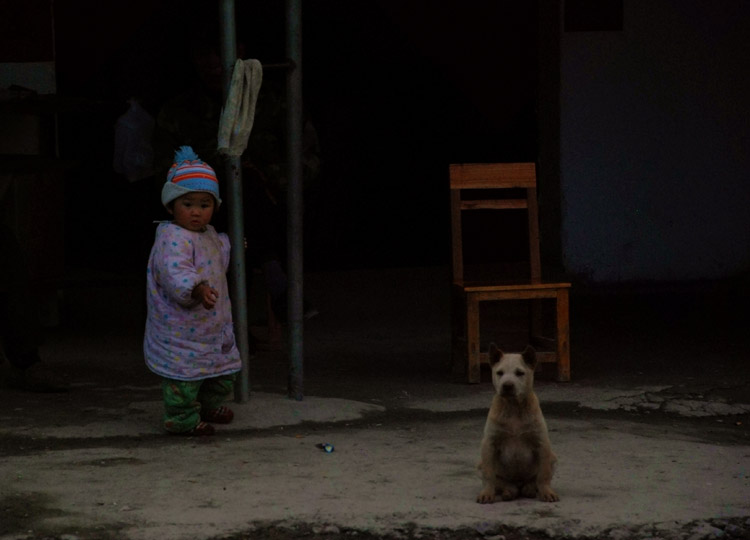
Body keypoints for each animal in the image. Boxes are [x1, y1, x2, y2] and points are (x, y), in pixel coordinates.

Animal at [476, 344, 560, 504]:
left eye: (520, 373)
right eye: (500, 373)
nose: (507, 386)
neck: (513, 407)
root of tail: (519, 484)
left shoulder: (542, 443)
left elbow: (543, 474)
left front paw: (546, 492)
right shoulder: (489, 443)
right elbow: (489, 474)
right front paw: (487, 493)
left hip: (553, 457)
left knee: (532, 481)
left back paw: (529, 489)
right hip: (481, 464)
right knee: (502, 483)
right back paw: (509, 492)